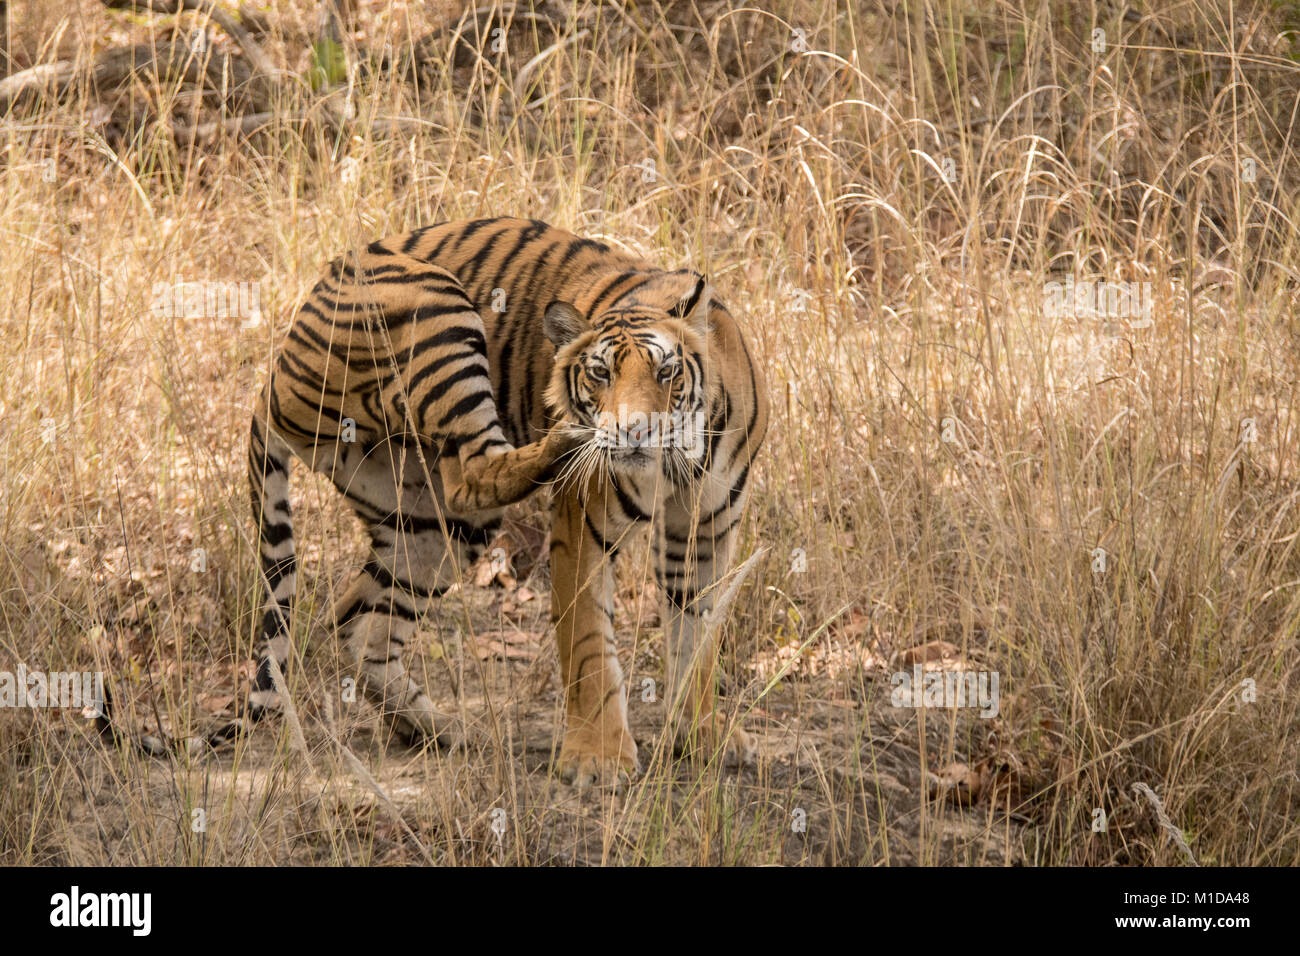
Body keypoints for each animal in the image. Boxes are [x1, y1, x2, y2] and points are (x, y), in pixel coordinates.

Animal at [233, 221, 764, 790]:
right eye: (600, 374)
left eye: (666, 373)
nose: (632, 432)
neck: (680, 461)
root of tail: (277, 369)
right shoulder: (583, 526)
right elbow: (589, 642)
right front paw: (597, 757)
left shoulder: (706, 530)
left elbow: (698, 634)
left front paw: (704, 733)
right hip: (435, 312)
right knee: (470, 472)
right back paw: (562, 440)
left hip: (432, 524)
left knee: (355, 623)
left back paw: (441, 730)